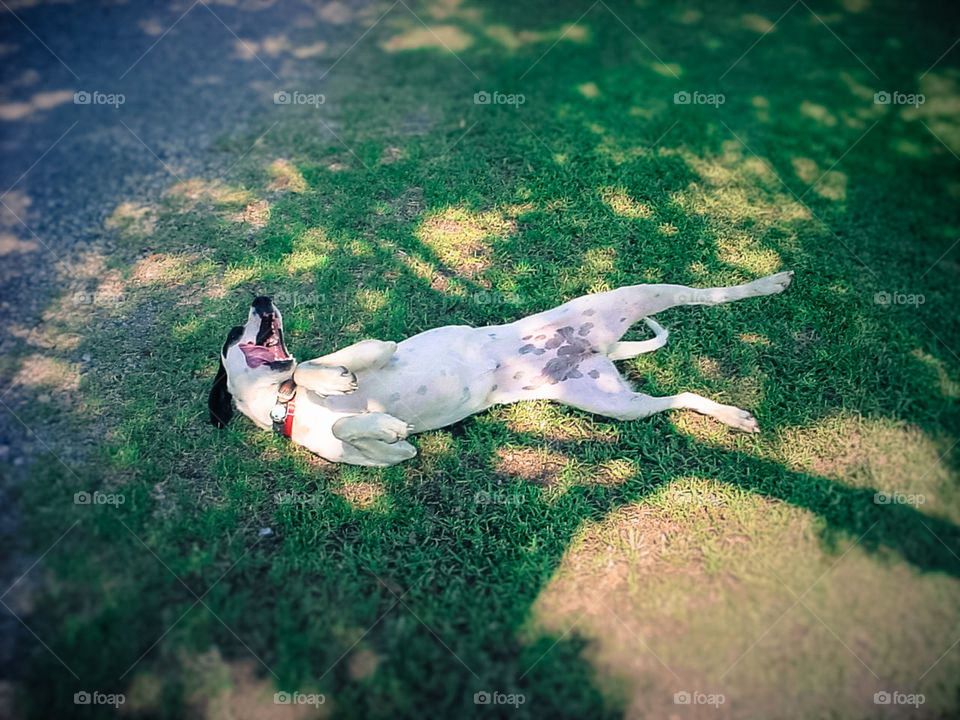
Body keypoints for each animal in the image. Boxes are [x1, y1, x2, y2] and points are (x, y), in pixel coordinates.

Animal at [208, 272, 796, 466]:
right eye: (236, 336)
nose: (261, 297)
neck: (284, 404)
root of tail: (598, 350)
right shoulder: (395, 458)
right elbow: (363, 433)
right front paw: (380, 422)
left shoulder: (378, 344)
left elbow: (310, 366)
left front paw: (332, 380)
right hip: (613, 403)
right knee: (678, 400)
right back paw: (735, 417)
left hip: (631, 296)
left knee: (708, 294)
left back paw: (770, 282)